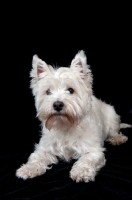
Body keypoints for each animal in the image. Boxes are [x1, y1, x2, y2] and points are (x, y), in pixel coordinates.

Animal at [15, 50, 131, 183]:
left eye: (71, 90)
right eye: (48, 92)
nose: (57, 104)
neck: (65, 125)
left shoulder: (93, 150)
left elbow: (87, 159)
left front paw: (81, 172)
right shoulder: (45, 148)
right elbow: (37, 157)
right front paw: (28, 169)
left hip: (111, 116)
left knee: (114, 131)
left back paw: (117, 139)